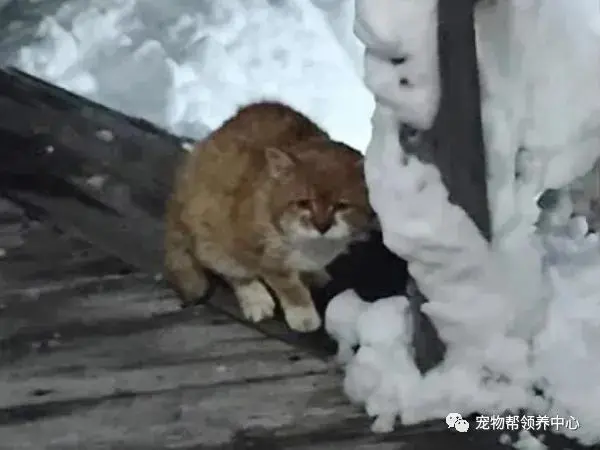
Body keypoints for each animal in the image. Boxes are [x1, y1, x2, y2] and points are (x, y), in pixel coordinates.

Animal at [162, 100, 372, 332]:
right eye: (303, 203)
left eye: (342, 206)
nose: (322, 226)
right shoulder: (250, 245)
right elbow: (283, 281)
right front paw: (302, 314)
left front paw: (313, 274)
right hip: (208, 225)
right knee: (225, 267)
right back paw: (255, 298)